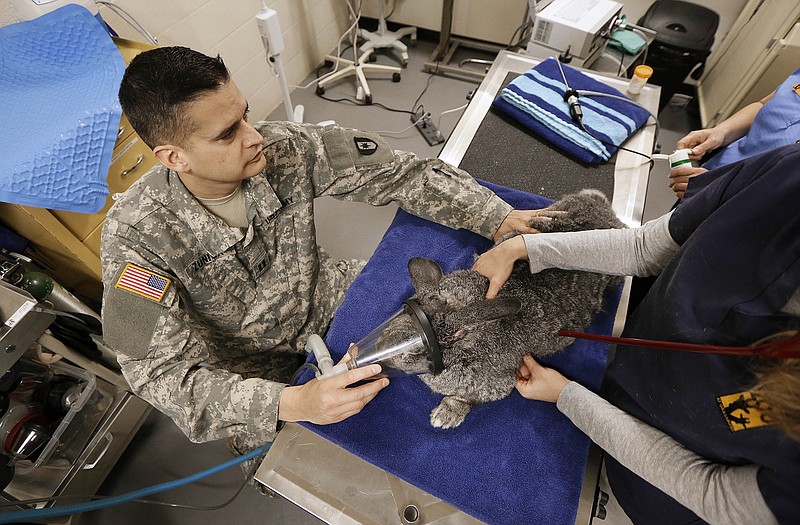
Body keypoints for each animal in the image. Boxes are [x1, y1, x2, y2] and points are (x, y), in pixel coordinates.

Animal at [382, 190, 624, 428]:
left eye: (411, 350)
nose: (378, 350)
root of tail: (601, 207)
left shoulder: (496, 386)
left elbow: (466, 399)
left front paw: (445, 416)